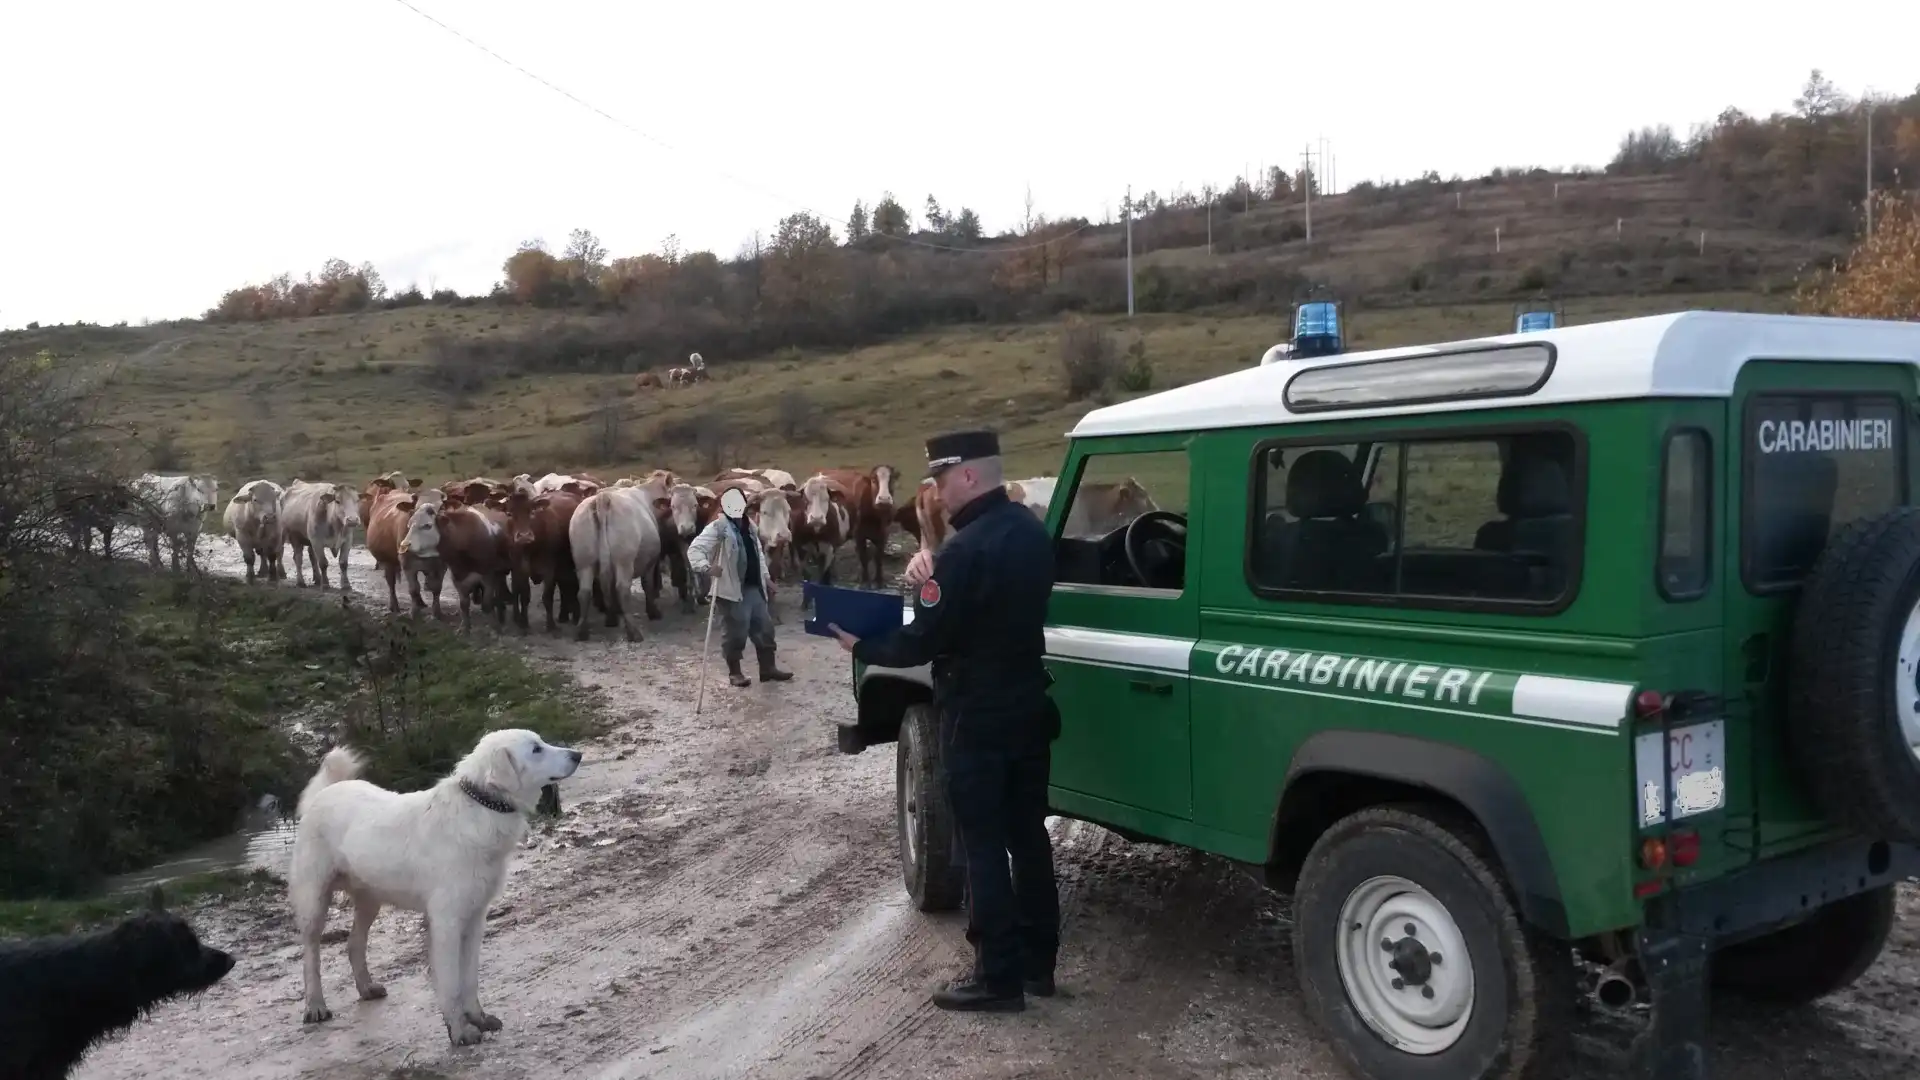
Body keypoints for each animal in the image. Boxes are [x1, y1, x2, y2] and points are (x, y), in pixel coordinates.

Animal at [288, 726, 579, 1037]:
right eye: (536, 749)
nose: (577, 755)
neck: (480, 805)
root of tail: (325, 792)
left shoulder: (476, 918)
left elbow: (469, 978)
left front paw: (478, 1017)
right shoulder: (446, 921)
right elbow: (450, 983)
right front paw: (460, 1031)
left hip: (370, 899)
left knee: (354, 944)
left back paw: (366, 988)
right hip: (314, 901)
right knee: (311, 955)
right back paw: (315, 1006)